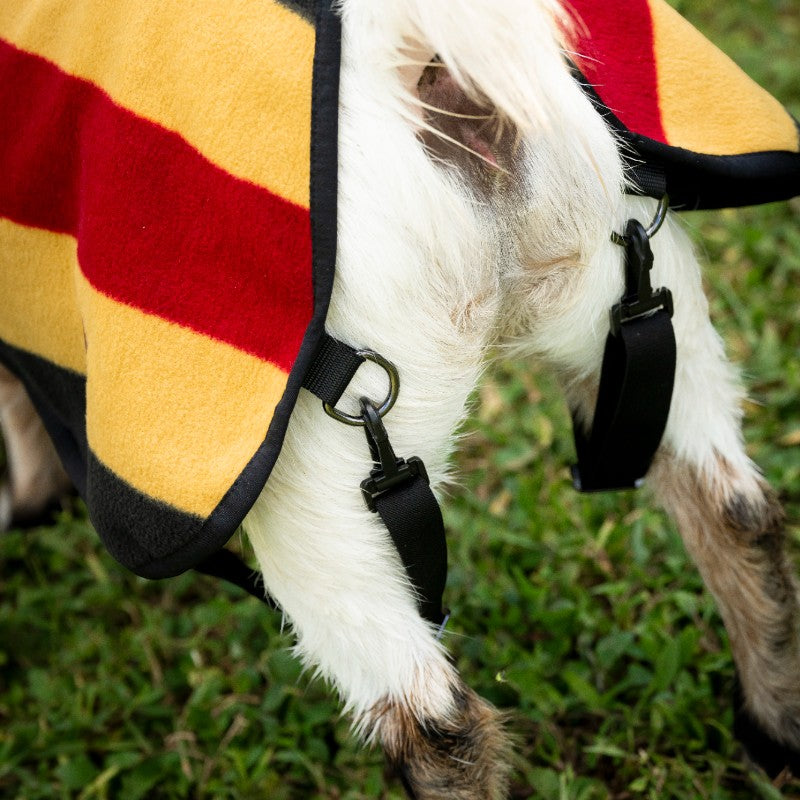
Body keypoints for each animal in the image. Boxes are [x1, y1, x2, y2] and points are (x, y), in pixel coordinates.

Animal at [1, 0, 798, 797]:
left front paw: (27, 502)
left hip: (326, 503)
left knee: (435, 721)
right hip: (646, 309)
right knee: (738, 513)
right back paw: (774, 740)